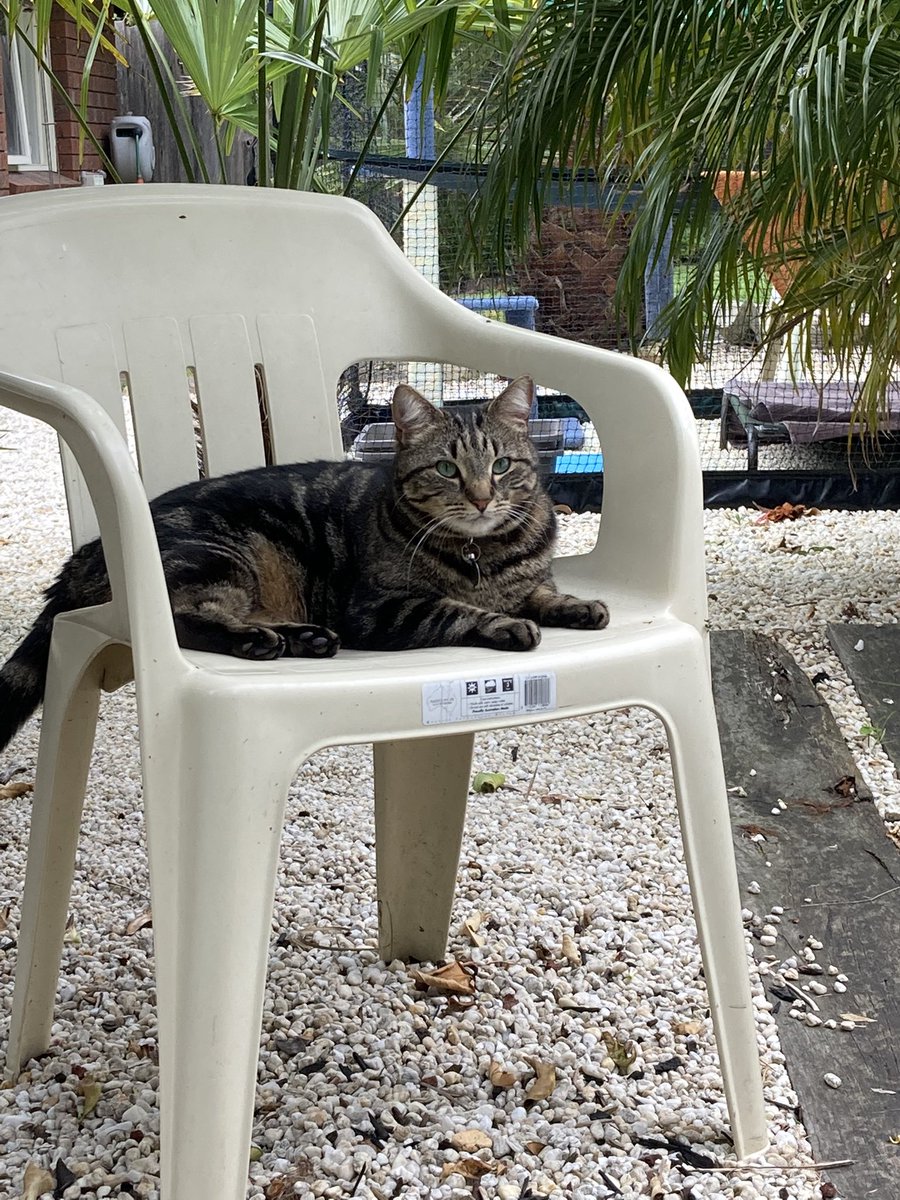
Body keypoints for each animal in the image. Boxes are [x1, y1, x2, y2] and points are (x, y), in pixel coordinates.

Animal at [0, 376, 614, 748]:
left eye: (503, 465)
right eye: (446, 470)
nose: (484, 499)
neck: (482, 552)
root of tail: (87, 551)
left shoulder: (528, 579)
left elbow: (543, 592)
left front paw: (580, 606)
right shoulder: (380, 609)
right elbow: (458, 609)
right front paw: (507, 624)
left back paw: (305, 638)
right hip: (222, 559)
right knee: (187, 621)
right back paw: (264, 641)